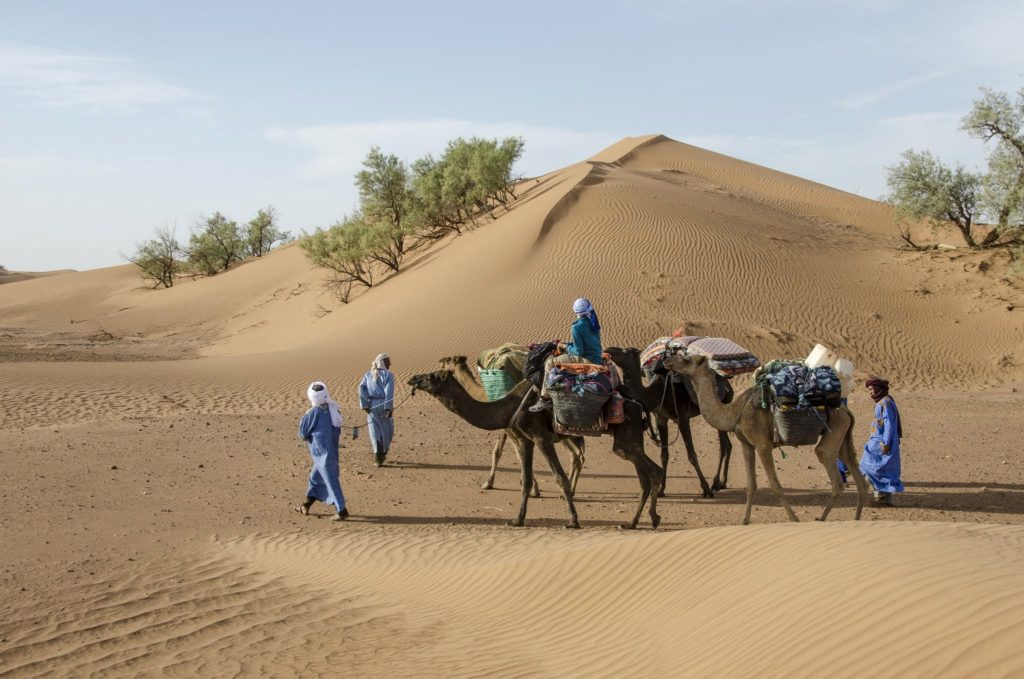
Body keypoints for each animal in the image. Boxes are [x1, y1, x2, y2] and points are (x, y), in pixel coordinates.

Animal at [438, 358, 585, 497]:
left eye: (446, 361)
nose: (440, 364)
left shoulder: (509, 429)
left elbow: (505, 453)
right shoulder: (508, 428)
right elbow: (502, 452)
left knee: (576, 454)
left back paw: (569, 491)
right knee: (577, 454)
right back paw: (570, 491)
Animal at [602, 346, 733, 499]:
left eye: (625, 351)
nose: (608, 349)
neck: (656, 393)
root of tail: (727, 384)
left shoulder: (682, 418)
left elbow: (692, 455)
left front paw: (705, 489)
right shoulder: (661, 418)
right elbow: (664, 455)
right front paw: (661, 490)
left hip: (722, 405)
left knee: (723, 447)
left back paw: (715, 484)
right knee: (728, 445)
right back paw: (723, 482)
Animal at [663, 352, 864, 522]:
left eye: (686, 358)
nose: (666, 361)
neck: (734, 412)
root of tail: (846, 410)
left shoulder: (762, 445)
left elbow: (775, 485)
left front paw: (794, 519)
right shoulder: (747, 445)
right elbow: (751, 485)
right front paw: (744, 521)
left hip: (834, 430)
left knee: (833, 472)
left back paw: (822, 519)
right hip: (842, 435)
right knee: (857, 475)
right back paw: (855, 520)